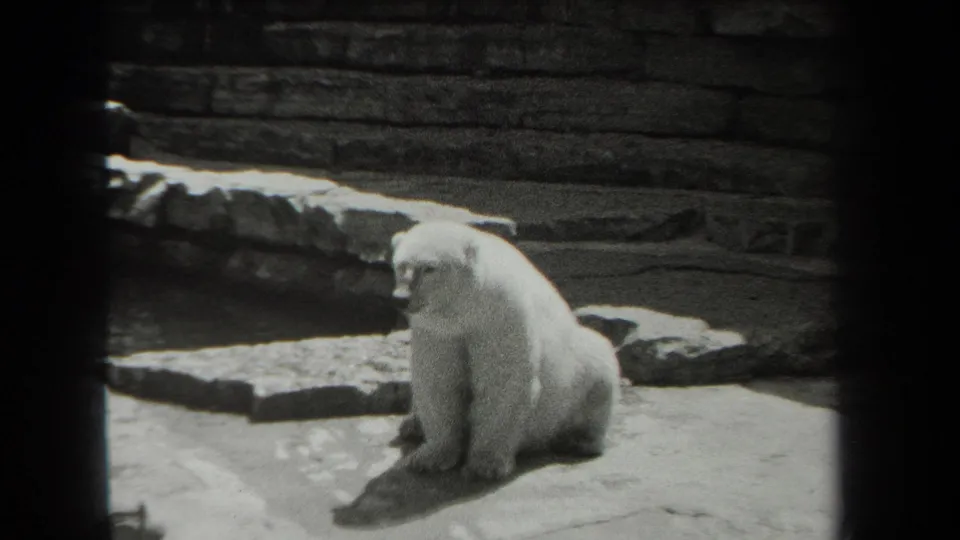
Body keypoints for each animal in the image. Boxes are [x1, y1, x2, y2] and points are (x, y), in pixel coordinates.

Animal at [389, 221, 622, 481]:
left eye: (429, 268)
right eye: (400, 265)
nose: (401, 298)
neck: (469, 311)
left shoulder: (502, 319)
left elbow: (502, 381)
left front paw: (485, 464)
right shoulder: (438, 332)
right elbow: (438, 382)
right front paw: (429, 457)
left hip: (576, 372)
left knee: (598, 368)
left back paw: (579, 441)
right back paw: (412, 425)